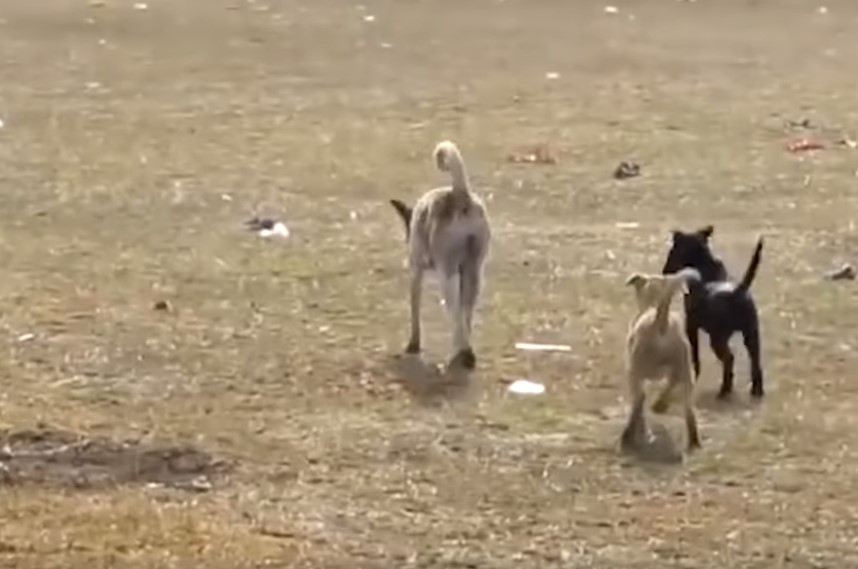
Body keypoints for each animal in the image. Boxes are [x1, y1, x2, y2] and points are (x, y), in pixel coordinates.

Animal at [388, 141, 488, 368]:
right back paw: (465, 353)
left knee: (455, 314)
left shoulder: (415, 271)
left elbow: (415, 311)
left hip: (447, 273)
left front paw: (413, 345)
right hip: (473, 271)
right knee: (465, 314)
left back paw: (458, 354)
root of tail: (461, 194)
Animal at [620, 268, 704, 450]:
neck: (653, 305)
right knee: (687, 407)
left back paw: (628, 434)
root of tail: (660, 323)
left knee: (640, 400)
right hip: (686, 370)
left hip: (635, 371)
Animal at [664, 224, 764, 398]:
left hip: (718, 339)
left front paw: (694, 374)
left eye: (672, 251)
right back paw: (756, 390)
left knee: (729, 359)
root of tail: (737, 292)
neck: (704, 266)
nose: (664, 270)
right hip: (752, 335)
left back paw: (725, 388)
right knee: (755, 362)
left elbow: (695, 354)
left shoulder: (690, 326)